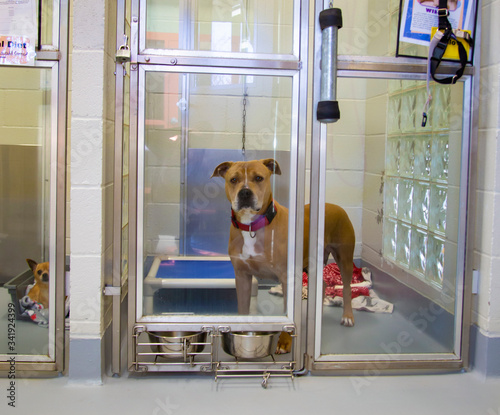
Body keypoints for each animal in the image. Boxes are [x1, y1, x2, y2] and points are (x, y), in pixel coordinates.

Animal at [211, 159, 356, 354]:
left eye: (259, 178)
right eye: (233, 179)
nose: (245, 192)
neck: (252, 227)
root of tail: (335, 206)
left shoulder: (288, 279)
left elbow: (289, 316)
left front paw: (285, 342)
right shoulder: (242, 277)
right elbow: (243, 309)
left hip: (344, 259)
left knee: (347, 287)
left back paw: (347, 316)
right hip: (309, 265)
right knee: (323, 283)